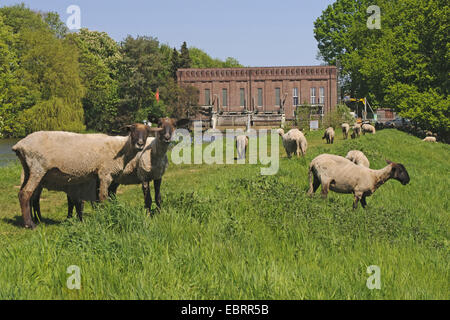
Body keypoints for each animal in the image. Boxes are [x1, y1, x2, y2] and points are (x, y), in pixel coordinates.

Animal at [12, 122, 158, 228]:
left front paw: (99, 214)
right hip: (37, 167)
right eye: (132, 131)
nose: (140, 144)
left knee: (24, 194)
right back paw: (30, 224)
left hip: (27, 168)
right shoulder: (105, 173)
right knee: (25, 194)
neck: (120, 150)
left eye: (147, 132)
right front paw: (106, 216)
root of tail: (19, 145)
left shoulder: (97, 175)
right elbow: (103, 197)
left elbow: (97, 199)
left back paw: (35, 221)